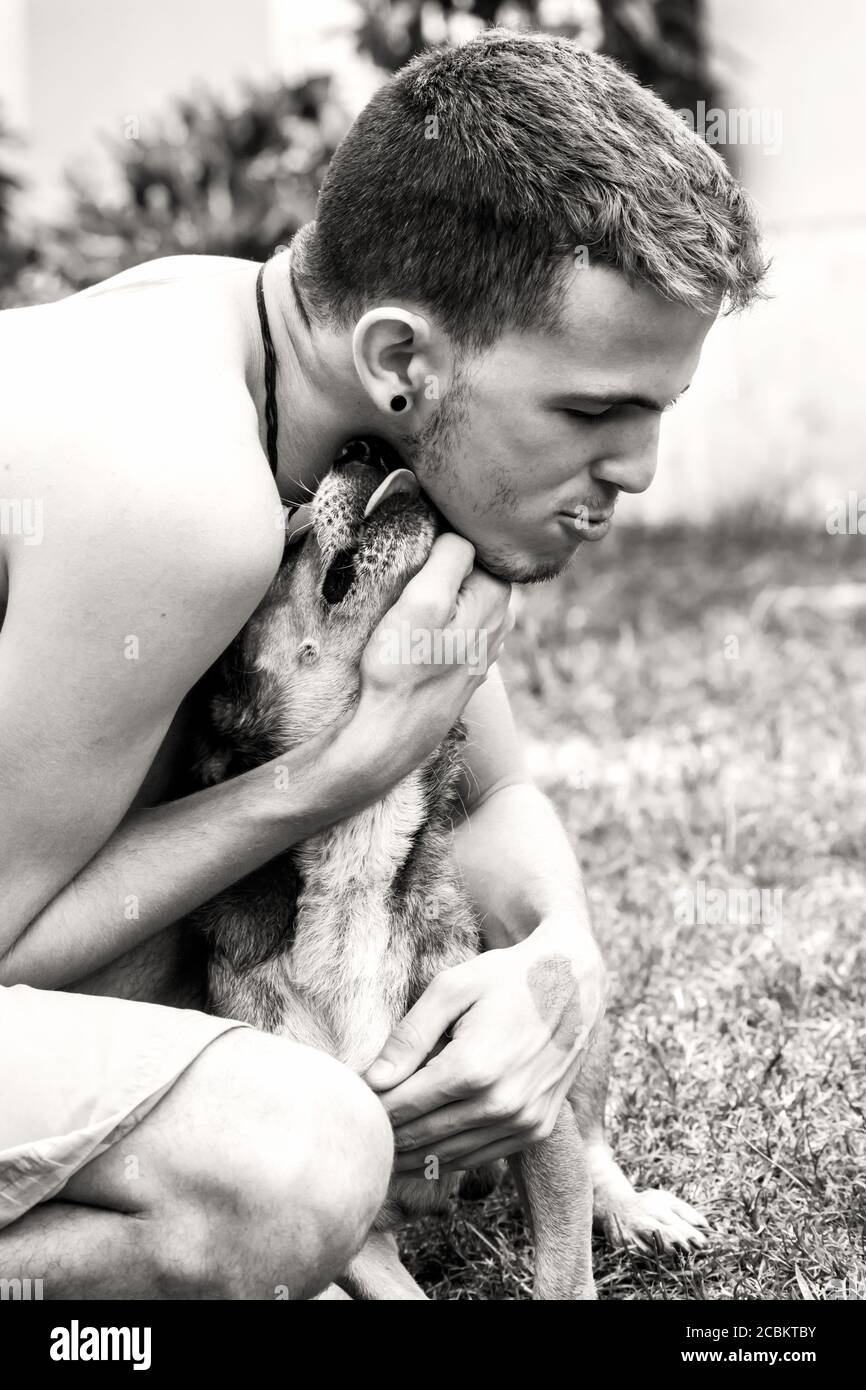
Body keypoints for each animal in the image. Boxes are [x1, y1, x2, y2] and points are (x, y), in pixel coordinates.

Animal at [179, 439, 708, 1295]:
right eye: (289, 541)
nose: (365, 446)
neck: (357, 857)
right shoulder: (360, 1231)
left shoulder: (532, 1105)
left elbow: (566, 1267)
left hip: (566, 1002)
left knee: (597, 1143)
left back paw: (638, 1213)